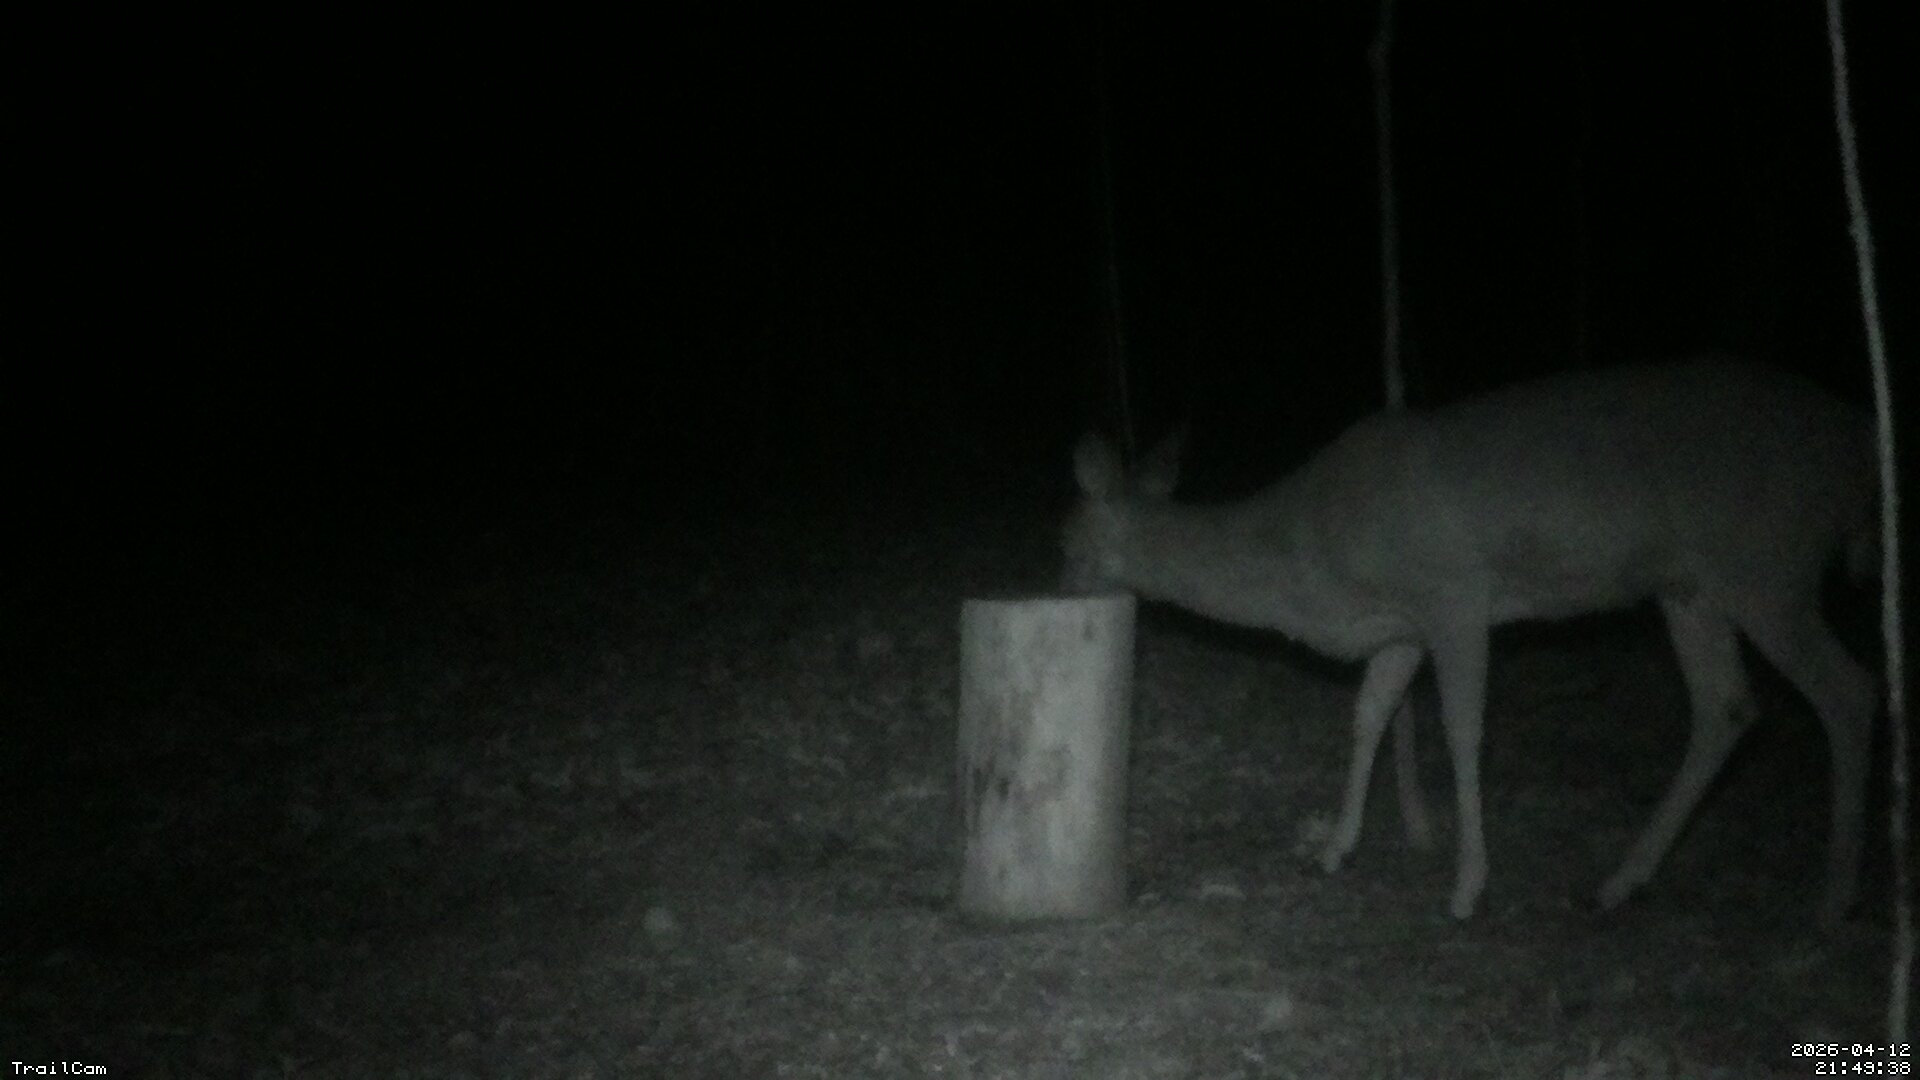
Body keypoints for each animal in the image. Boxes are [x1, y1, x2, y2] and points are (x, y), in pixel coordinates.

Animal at [1062, 357, 1878, 928]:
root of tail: (1855, 449)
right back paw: (1618, 883)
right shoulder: (1400, 626)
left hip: (1767, 562)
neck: (1311, 556)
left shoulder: (1453, 594)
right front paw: (1336, 848)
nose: (1059, 580)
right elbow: (1367, 715)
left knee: (1847, 692)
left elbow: (1462, 730)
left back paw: (1835, 897)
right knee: (1727, 707)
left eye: (1067, 536)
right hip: (1693, 586)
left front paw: (1465, 887)